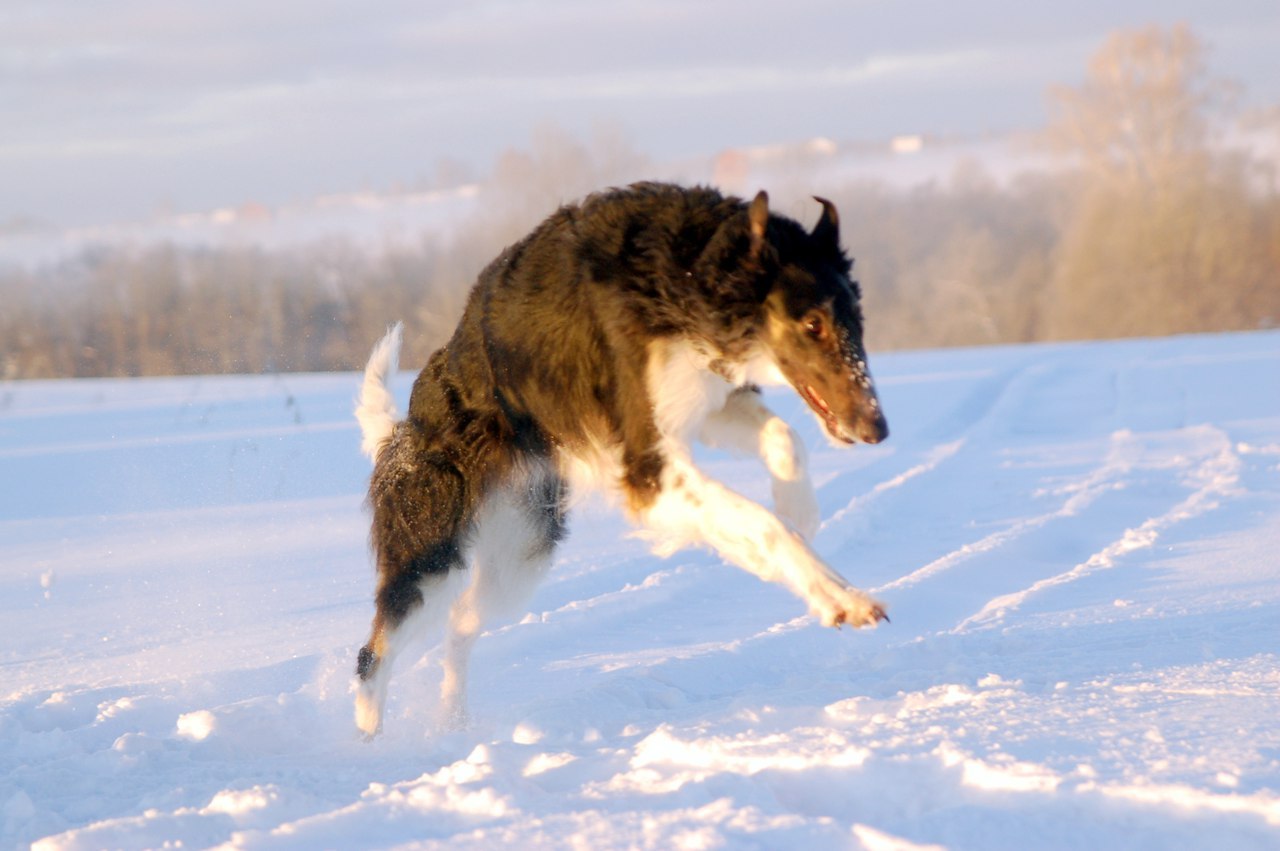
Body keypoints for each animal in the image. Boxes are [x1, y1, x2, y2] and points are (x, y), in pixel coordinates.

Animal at [355, 182, 885, 731]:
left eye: (857, 320)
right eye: (812, 323)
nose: (878, 430)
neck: (683, 271)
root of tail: (405, 425)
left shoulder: (701, 403)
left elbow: (785, 440)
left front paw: (800, 511)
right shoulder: (650, 468)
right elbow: (764, 524)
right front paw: (839, 593)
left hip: (522, 554)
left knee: (459, 625)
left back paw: (454, 724)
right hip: (433, 557)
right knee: (374, 652)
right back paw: (370, 737)